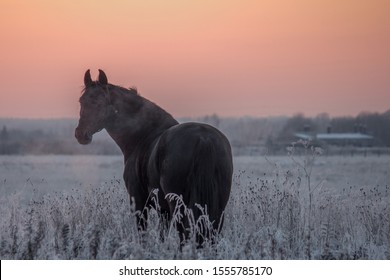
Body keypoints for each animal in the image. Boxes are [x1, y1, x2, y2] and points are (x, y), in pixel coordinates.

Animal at [75, 70, 232, 245]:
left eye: (100, 102)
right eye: (81, 101)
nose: (80, 134)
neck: (143, 136)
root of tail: (203, 139)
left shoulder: (139, 202)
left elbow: (142, 233)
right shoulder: (163, 210)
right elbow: (162, 235)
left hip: (179, 205)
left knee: (184, 234)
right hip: (217, 206)